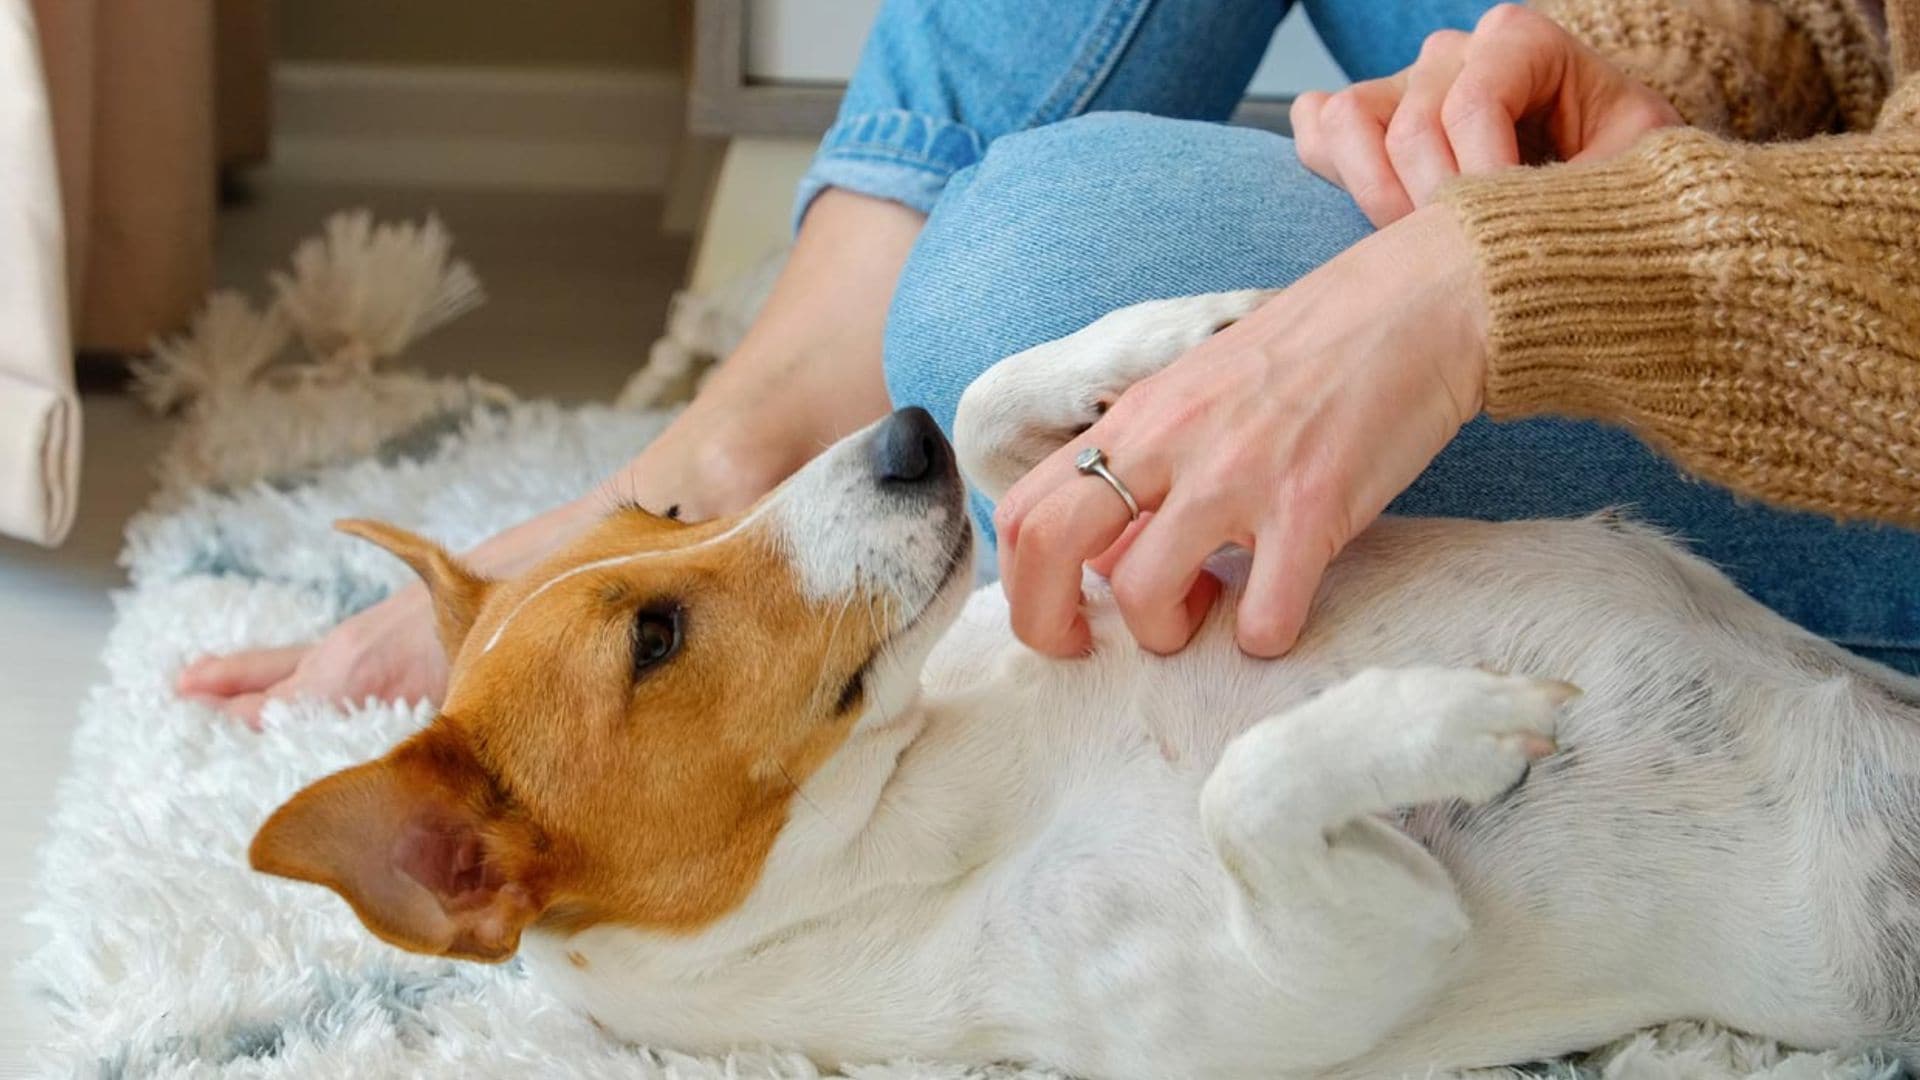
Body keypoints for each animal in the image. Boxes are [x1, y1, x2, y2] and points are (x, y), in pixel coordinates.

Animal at [247, 290, 1920, 1068]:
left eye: (661, 506)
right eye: (651, 641)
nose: (897, 437)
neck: (942, 773)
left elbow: (1009, 427)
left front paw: (1160, 350)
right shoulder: (1341, 963)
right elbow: (1256, 784)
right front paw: (1445, 716)